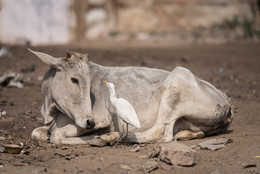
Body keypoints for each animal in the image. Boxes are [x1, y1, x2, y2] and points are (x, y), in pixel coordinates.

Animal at [29, 49, 234, 145]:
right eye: (74, 79)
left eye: (88, 79)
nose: (89, 122)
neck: (51, 110)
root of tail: (227, 102)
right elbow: (36, 133)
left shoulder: (101, 118)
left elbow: (56, 136)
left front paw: (101, 136)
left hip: (177, 80)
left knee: (159, 132)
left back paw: (110, 137)